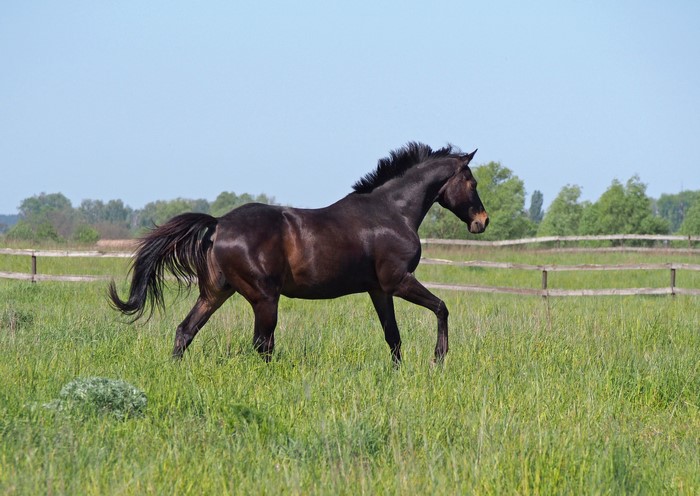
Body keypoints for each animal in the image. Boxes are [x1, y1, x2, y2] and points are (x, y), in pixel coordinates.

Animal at [109, 142, 489, 365]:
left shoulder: (379, 289)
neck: (391, 212)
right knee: (262, 344)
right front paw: (439, 359)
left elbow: (393, 336)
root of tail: (218, 225)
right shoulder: (398, 281)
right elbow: (441, 307)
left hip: (216, 293)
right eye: (472, 182)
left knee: (186, 331)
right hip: (264, 297)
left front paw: (400, 372)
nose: (481, 221)